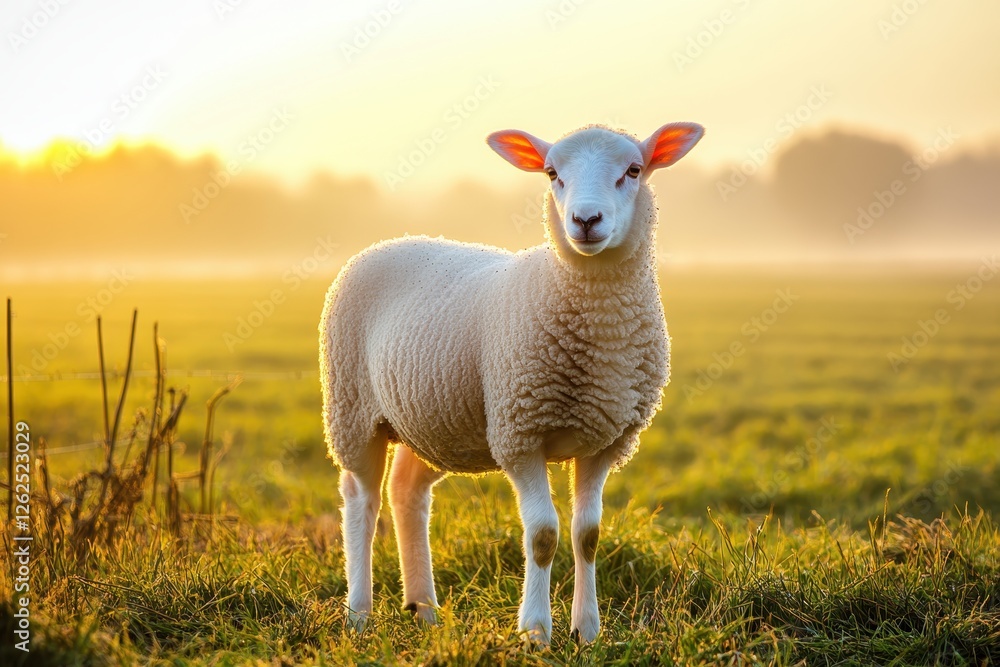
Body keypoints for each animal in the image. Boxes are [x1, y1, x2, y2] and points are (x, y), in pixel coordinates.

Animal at [319, 121, 704, 643]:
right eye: (551, 173)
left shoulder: (607, 440)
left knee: (406, 491)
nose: (585, 220)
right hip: (353, 408)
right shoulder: (520, 434)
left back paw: (423, 607)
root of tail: (389, 242)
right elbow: (543, 535)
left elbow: (588, 535)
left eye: (633, 170)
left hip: (435, 421)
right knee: (361, 500)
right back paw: (359, 614)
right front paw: (535, 631)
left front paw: (587, 630)